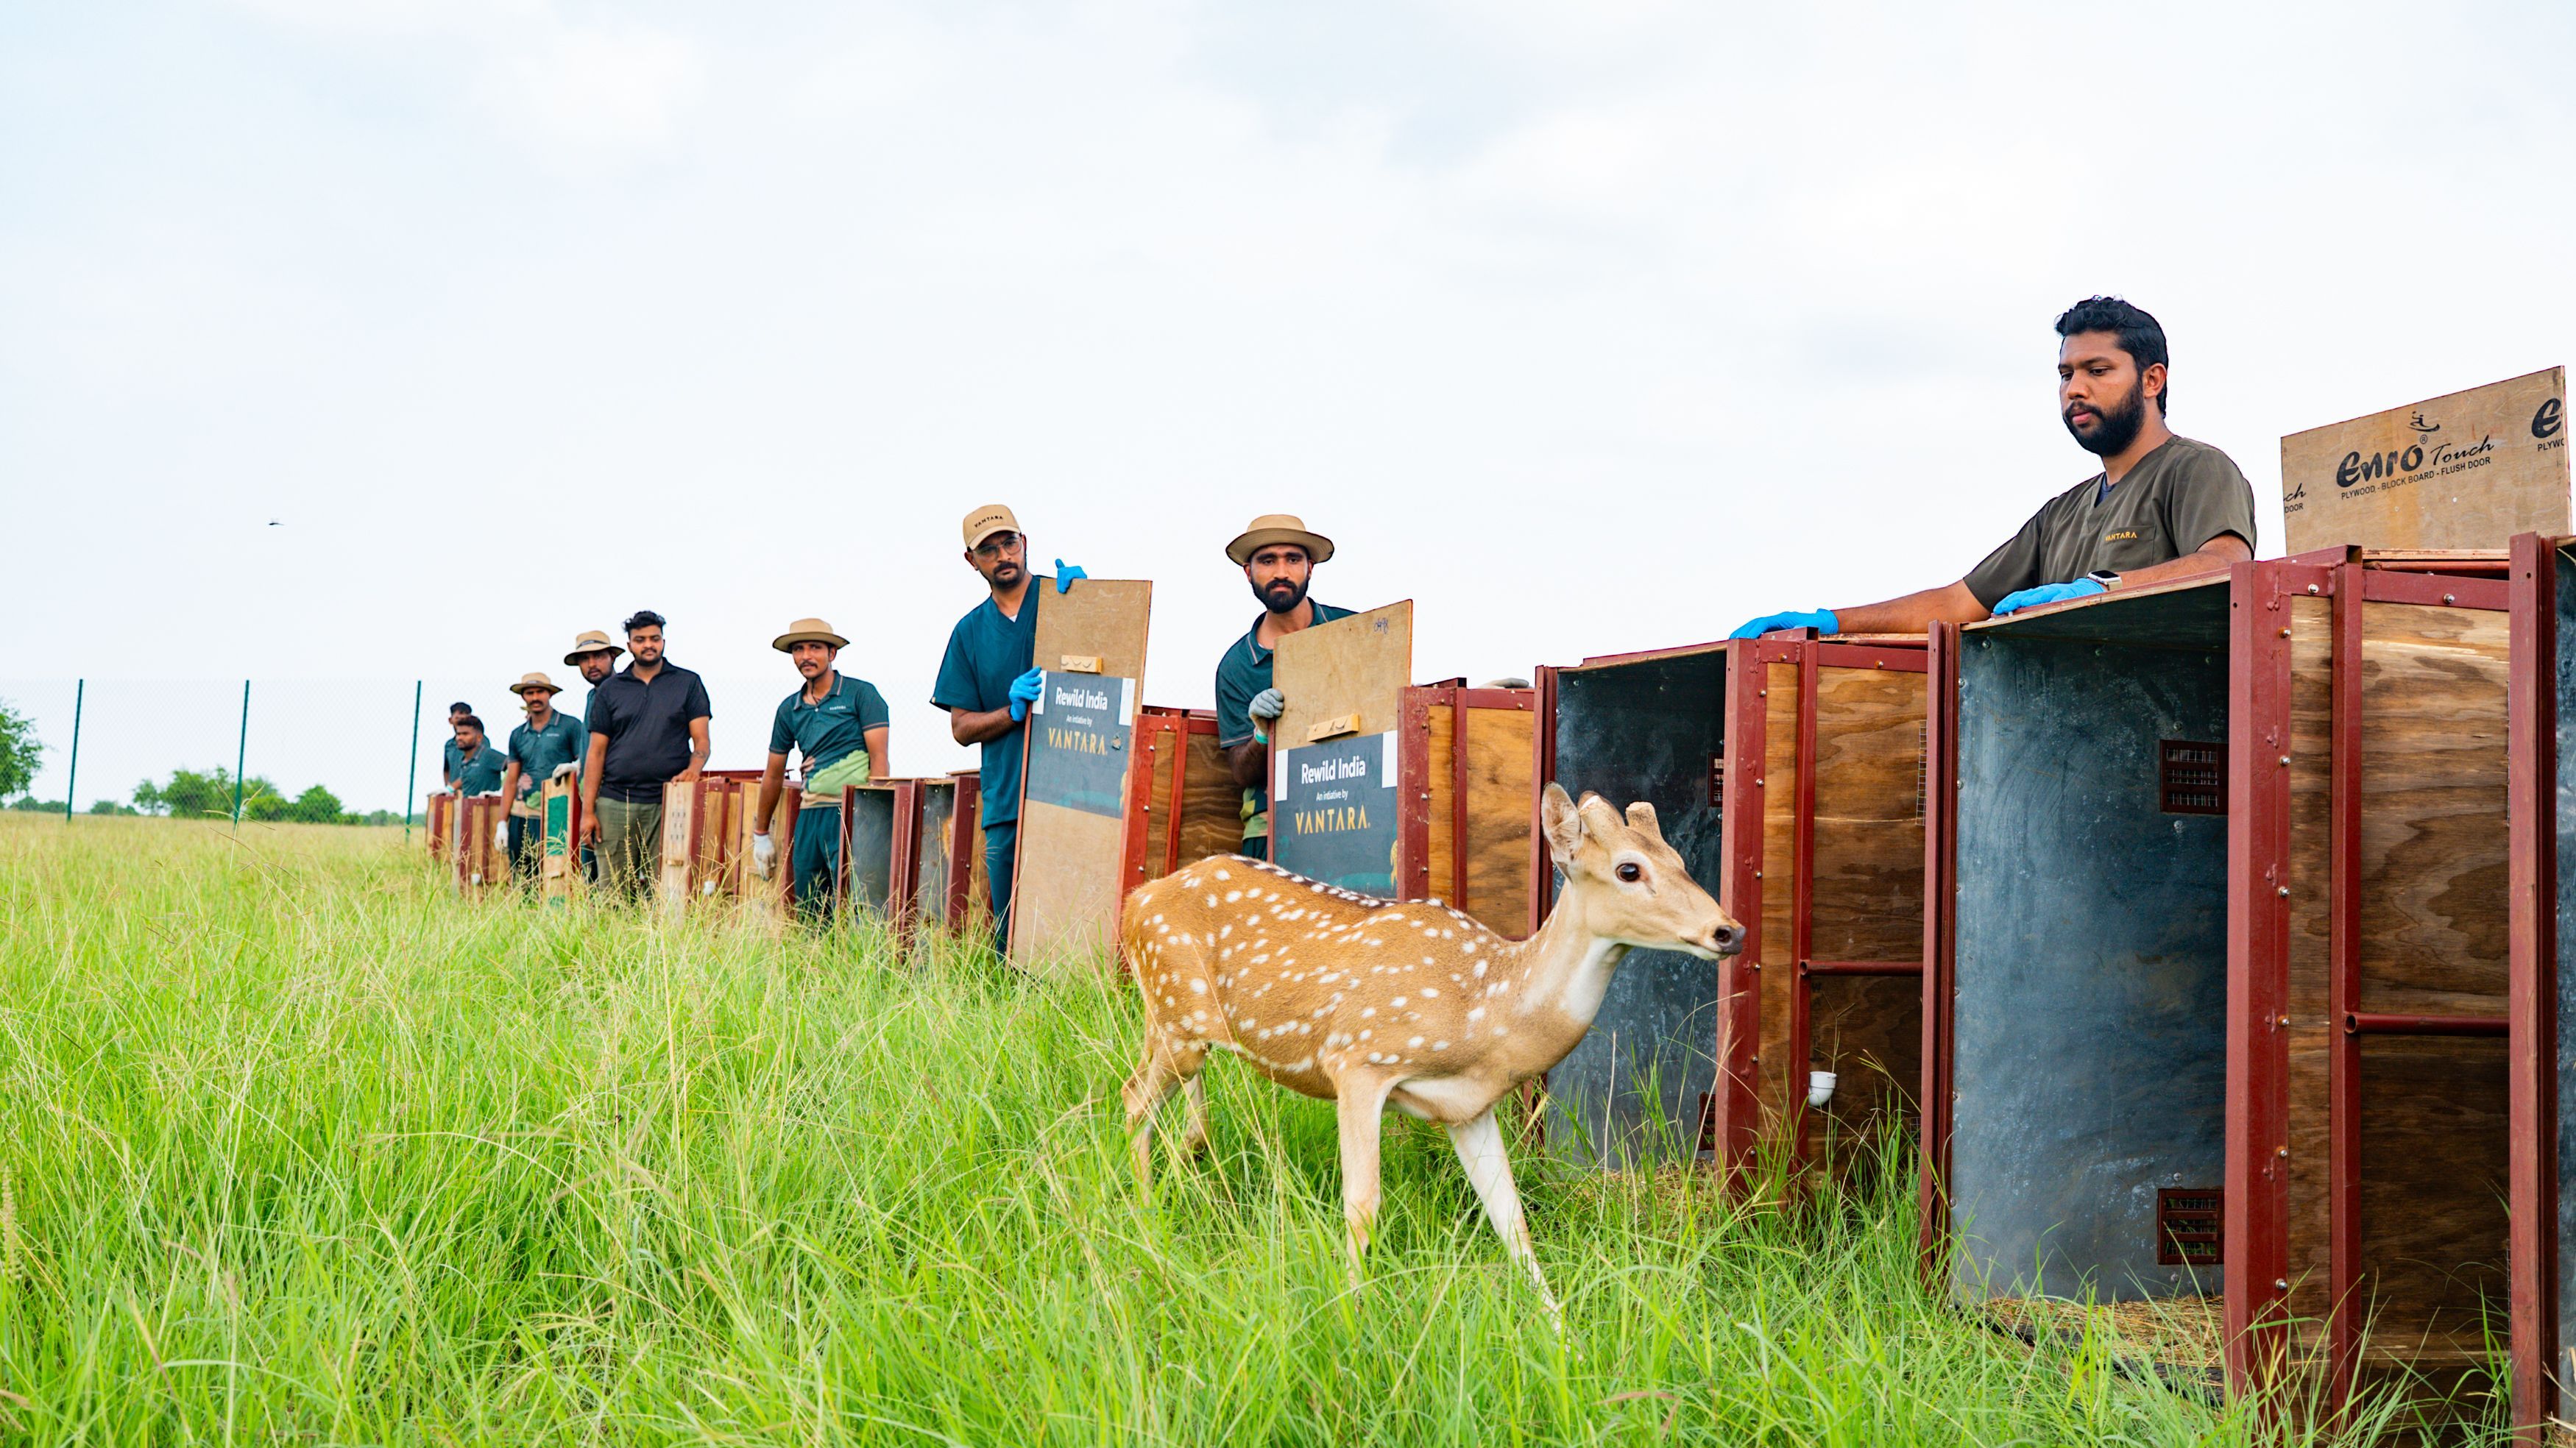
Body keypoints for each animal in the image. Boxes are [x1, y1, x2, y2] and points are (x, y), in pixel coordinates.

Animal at [1117, 781, 1744, 1311]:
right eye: (1628, 869)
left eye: (1682, 861)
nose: (1729, 931)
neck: (1484, 1013)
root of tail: (1136, 901)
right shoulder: (1358, 1059)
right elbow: (1362, 1206)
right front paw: (1351, 1317)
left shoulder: (1468, 1109)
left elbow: (1513, 1222)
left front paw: (1561, 1340)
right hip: (1176, 1017)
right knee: (1133, 1100)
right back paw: (1146, 1226)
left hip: (1173, 1023)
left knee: (1166, 1105)